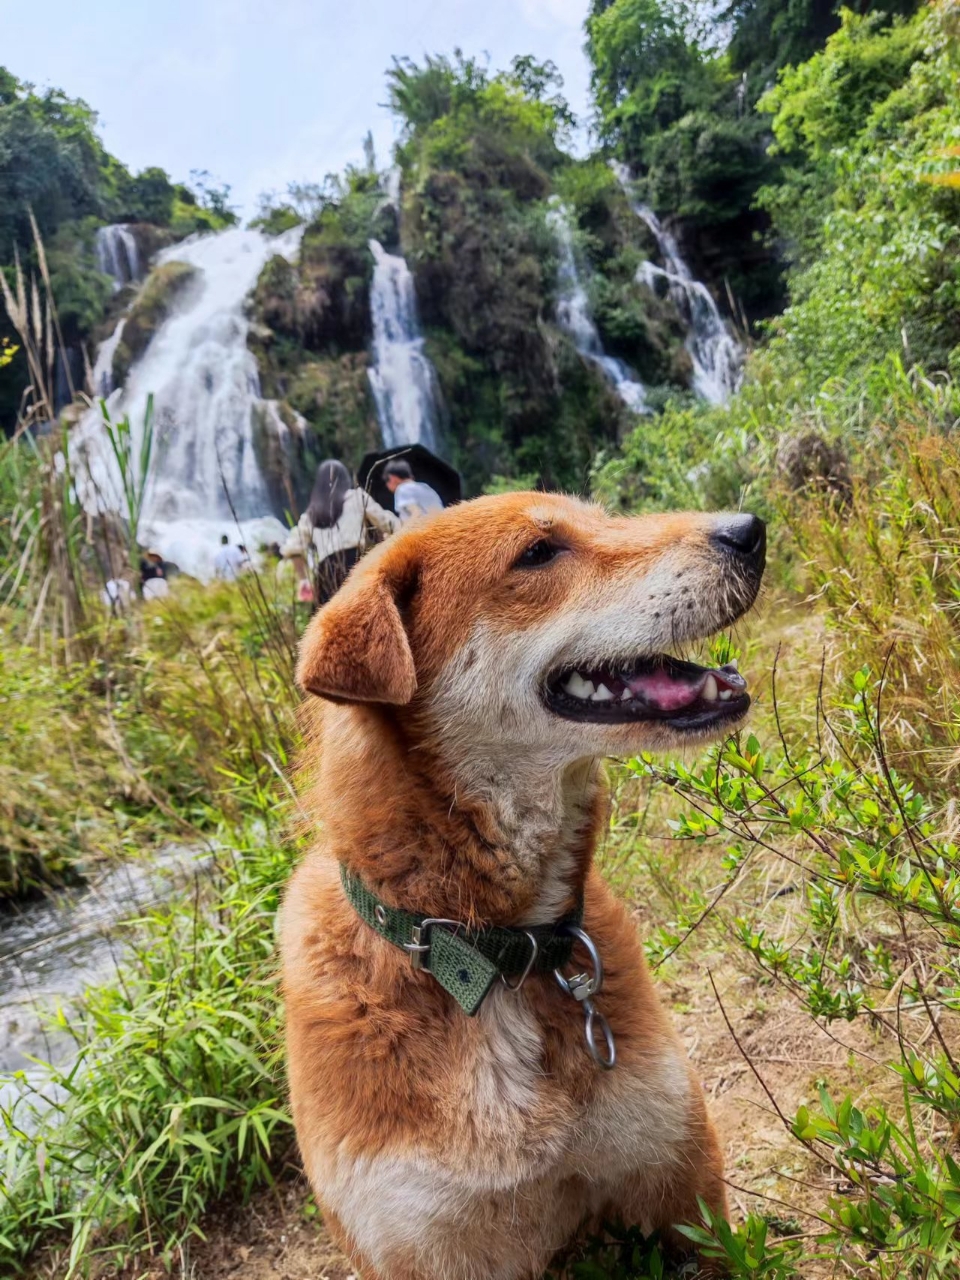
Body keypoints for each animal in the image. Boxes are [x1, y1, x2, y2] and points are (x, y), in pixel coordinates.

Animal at [280, 494, 768, 1280]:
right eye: (538, 553)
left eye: (601, 516)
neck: (486, 951)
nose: (749, 530)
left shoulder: (684, 1191)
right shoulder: (420, 1249)